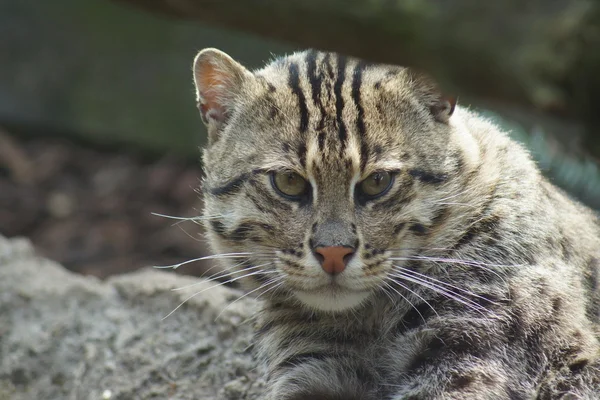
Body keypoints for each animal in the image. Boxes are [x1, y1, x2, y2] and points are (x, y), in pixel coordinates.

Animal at [191, 48, 600, 398]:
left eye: (377, 181)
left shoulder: (475, 346)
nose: (334, 253)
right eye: (288, 182)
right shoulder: (313, 364)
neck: (367, 321)